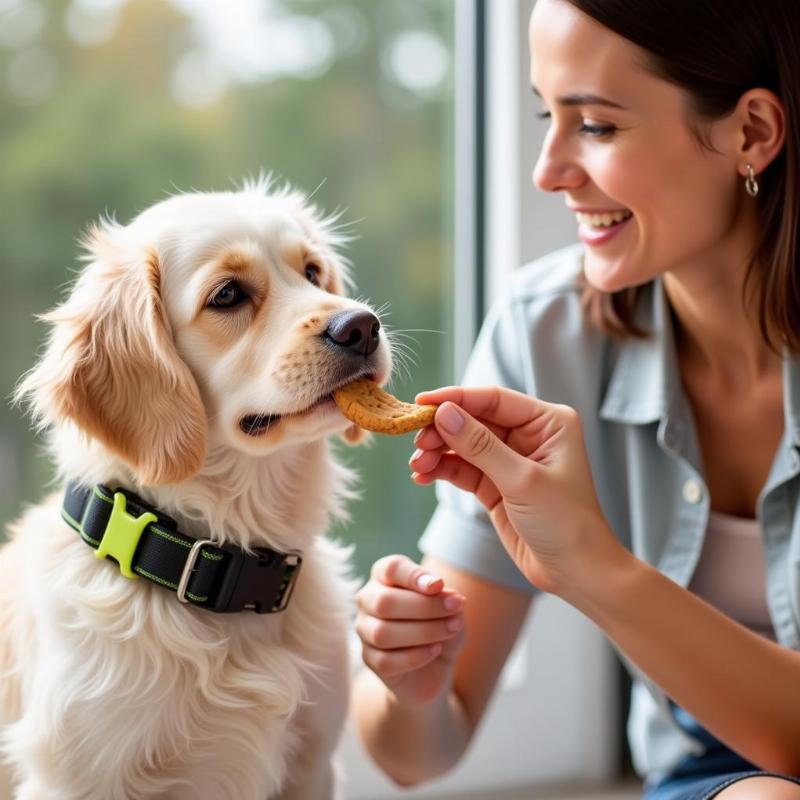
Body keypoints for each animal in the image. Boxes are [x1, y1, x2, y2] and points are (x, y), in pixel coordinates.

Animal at [0, 181, 394, 800]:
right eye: (228, 295)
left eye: (312, 272)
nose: (362, 326)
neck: (226, 573)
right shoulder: (74, 778)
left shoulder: (312, 764)